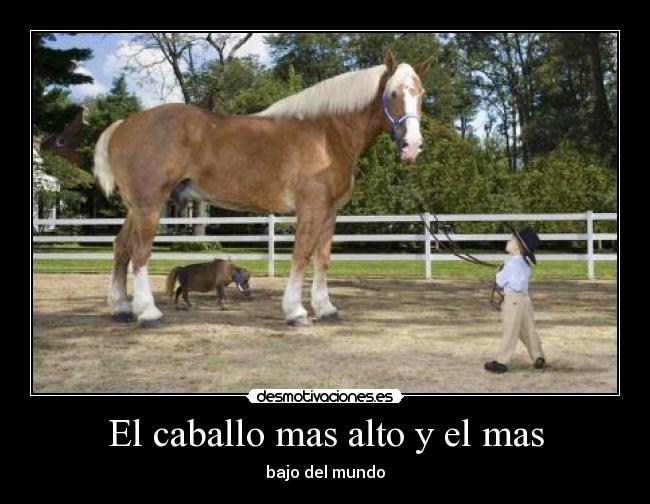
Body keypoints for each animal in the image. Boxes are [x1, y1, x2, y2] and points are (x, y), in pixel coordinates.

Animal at [93, 51, 432, 328]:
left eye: (421, 94)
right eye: (393, 93)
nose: (412, 146)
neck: (325, 135)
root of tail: (123, 125)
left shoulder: (330, 212)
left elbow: (321, 259)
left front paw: (326, 309)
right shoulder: (310, 209)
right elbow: (301, 255)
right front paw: (295, 312)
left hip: (136, 208)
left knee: (121, 248)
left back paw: (121, 308)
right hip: (150, 204)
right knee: (140, 252)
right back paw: (148, 313)